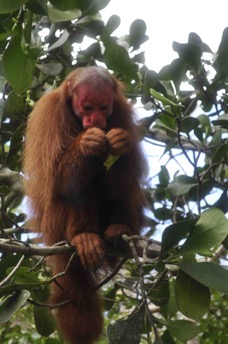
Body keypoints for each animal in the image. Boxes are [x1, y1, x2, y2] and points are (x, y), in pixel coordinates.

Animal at [23, 66, 147, 342]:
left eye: (103, 107)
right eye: (88, 107)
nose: (96, 122)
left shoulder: (120, 111)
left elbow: (119, 184)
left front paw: (121, 143)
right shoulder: (50, 115)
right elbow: (58, 181)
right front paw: (86, 143)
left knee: (126, 187)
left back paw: (119, 230)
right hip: (56, 226)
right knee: (76, 187)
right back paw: (84, 236)